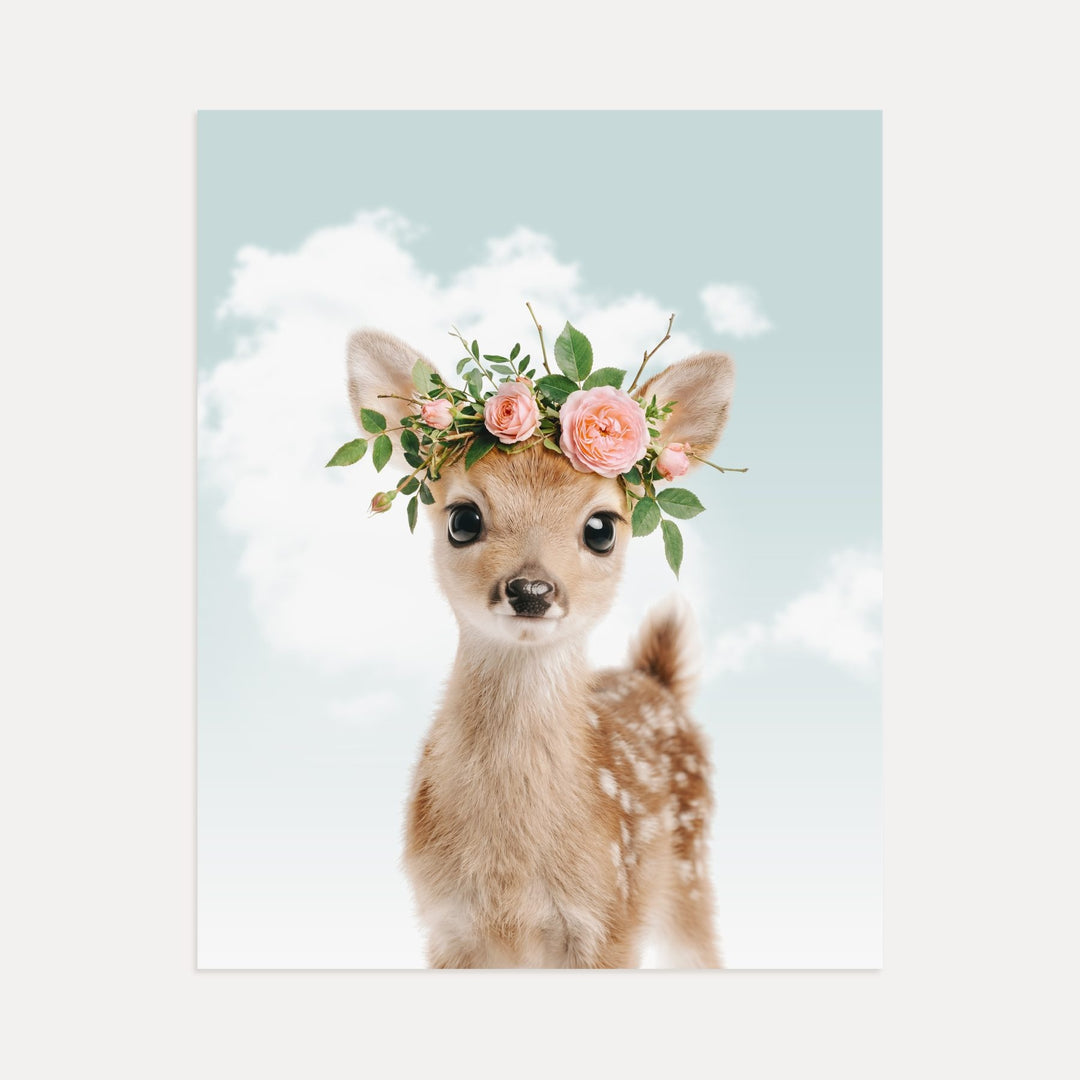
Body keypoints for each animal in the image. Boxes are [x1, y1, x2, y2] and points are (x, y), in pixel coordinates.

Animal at [346, 327, 735, 968]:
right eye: (463, 519)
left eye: (601, 528)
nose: (531, 590)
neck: (511, 875)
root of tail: (656, 680)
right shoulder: (445, 925)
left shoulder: (611, 920)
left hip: (690, 870)